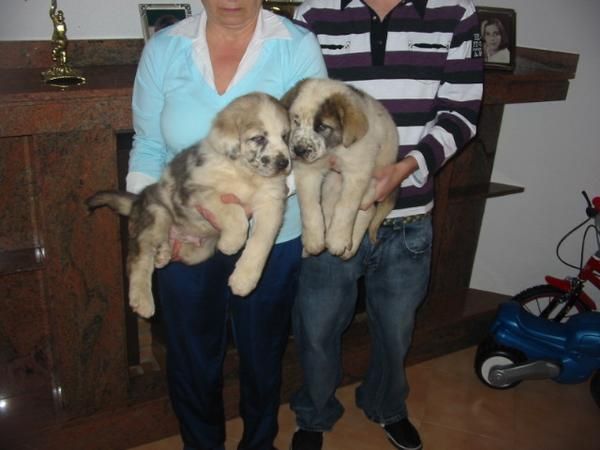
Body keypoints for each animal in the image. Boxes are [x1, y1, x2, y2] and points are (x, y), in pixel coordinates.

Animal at [86, 92, 290, 316]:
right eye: (259, 138)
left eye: (285, 136)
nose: (284, 163)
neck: (244, 174)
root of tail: (138, 200)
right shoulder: (194, 190)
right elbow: (234, 211)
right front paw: (231, 243)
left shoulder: (271, 204)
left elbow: (261, 243)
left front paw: (243, 280)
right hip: (157, 214)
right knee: (139, 257)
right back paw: (143, 301)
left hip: (198, 252)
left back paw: (163, 254)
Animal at [282, 79, 398, 258]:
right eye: (296, 121)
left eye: (322, 127)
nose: (298, 150)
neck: (333, 150)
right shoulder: (307, 172)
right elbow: (309, 207)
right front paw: (313, 241)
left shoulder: (357, 171)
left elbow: (346, 207)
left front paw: (337, 241)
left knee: (367, 210)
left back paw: (349, 247)